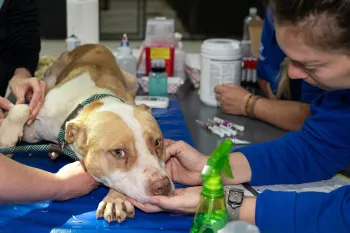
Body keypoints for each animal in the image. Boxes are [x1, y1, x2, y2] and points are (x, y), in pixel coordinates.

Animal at [0, 44, 175, 224]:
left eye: (157, 142)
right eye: (118, 152)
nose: (162, 185)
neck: (91, 102)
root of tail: (93, 45)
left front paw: (115, 199)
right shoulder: (36, 115)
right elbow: (22, 107)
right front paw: (6, 137)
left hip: (132, 80)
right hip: (48, 79)